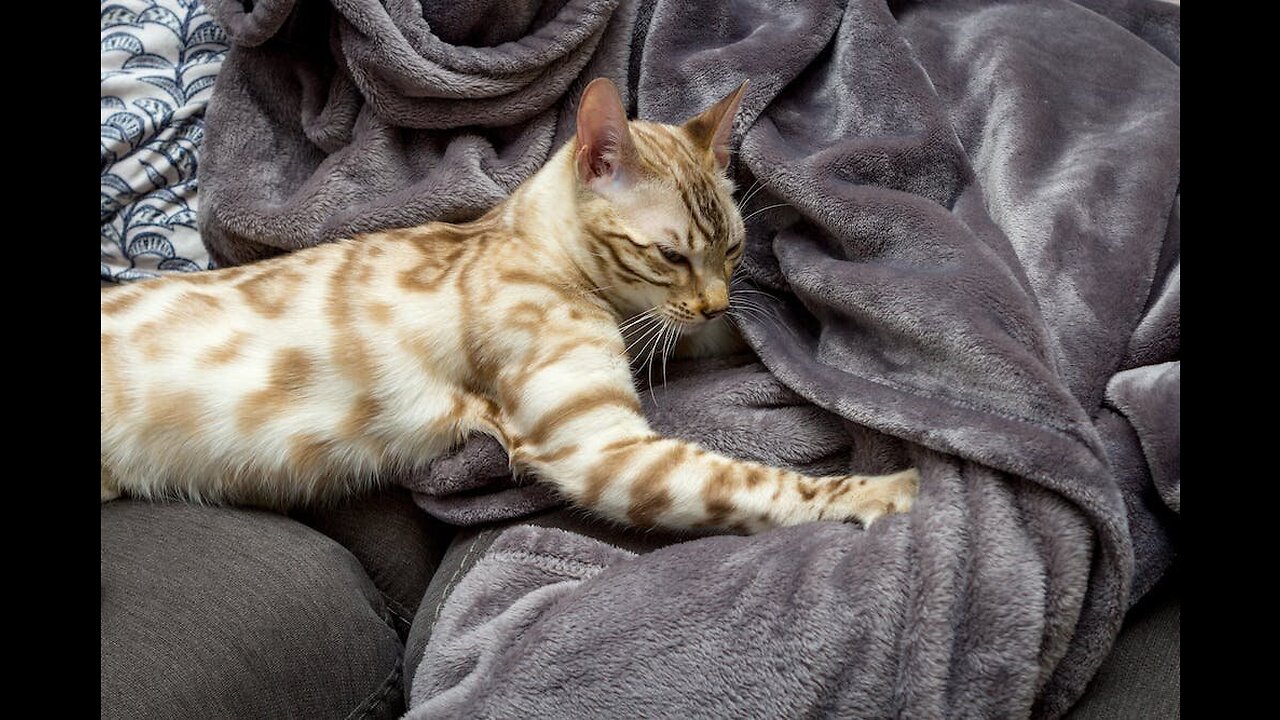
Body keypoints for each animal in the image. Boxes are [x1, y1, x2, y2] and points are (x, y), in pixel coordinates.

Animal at [102, 77, 921, 532]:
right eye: (671, 254)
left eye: (734, 250)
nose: (717, 301)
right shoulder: (598, 445)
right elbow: (758, 483)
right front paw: (892, 488)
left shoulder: (662, 336)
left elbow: (735, 343)